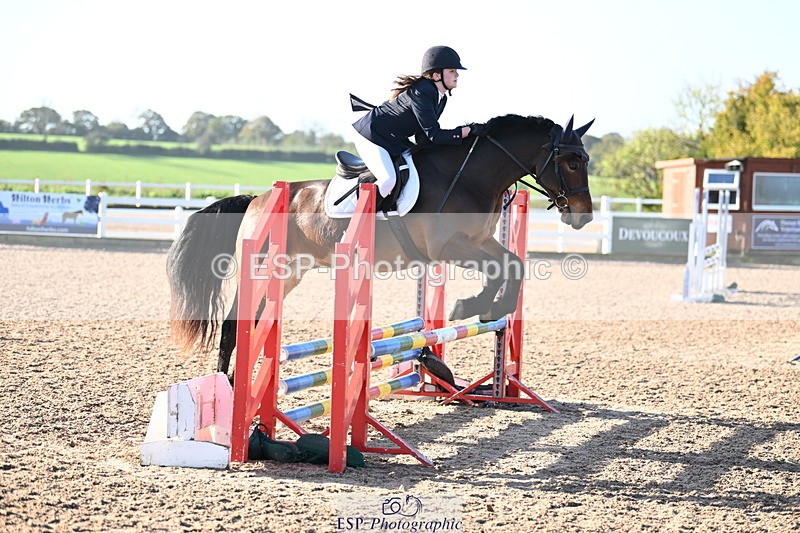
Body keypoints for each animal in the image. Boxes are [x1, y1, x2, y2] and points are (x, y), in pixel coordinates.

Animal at [167, 113, 594, 375]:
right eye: (572, 162)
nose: (583, 216)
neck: (472, 175)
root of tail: (257, 199)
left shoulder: (478, 241)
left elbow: (511, 264)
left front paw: (486, 310)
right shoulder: (448, 248)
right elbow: (503, 267)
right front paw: (471, 306)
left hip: (290, 274)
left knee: (253, 323)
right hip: (260, 269)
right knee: (233, 325)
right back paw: (223, 395)